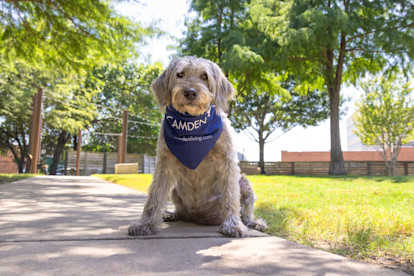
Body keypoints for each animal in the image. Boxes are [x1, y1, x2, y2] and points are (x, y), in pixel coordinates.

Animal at [129, 56, 268, 237]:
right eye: (180, 74)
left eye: (204, 76)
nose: (190, 92)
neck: (192, 122)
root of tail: (199, 217)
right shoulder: (164, 163)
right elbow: (155, 196)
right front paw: (145, 223)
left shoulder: (227, 162)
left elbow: (231, 196)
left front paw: (232, 225)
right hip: (175, 190)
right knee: (180, 211)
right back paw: (171, 214)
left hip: (244, 183)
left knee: (246, 214)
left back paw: (254, 222)